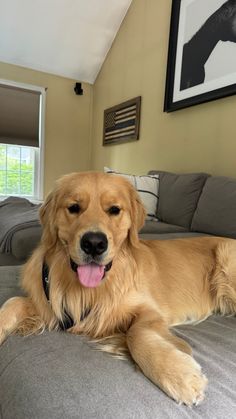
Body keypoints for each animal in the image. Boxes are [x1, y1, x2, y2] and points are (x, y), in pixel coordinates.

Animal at [0, 171, 236, 406]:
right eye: (74, 207)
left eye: (114, 210)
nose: (94, 244)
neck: (90, 288)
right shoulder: (50, 302)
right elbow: (13, 302)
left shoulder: (148, 310)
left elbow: (136, 333)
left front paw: (179, 374)